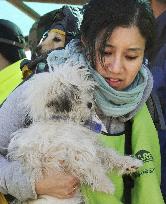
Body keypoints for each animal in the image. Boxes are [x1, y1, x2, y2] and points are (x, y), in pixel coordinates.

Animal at [7, 61, 142, 203]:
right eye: (75, 95)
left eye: (84, 90)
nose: (90, 104)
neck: (61, 120)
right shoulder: (73, 151)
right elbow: (91, 167)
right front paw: (105, 184)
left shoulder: (88, 145)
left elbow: (109, 155)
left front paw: (129, 164)